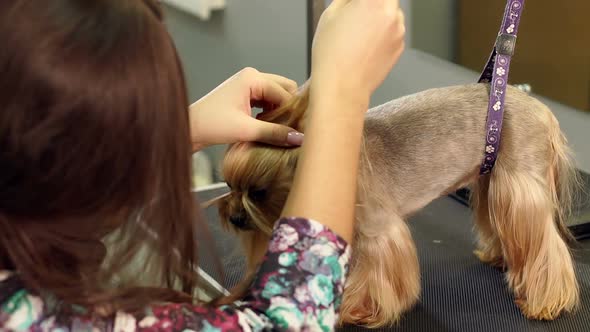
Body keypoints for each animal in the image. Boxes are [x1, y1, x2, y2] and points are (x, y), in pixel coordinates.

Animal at [214, 83, 584, 326]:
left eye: (259, 192)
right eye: (230, 185)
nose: (234, 217)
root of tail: (544, 112)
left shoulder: (376, 226)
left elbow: (376, 270)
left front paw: (359, 309)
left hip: (519, 181)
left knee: (543, 242)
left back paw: (545, 301)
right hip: (491, 178)